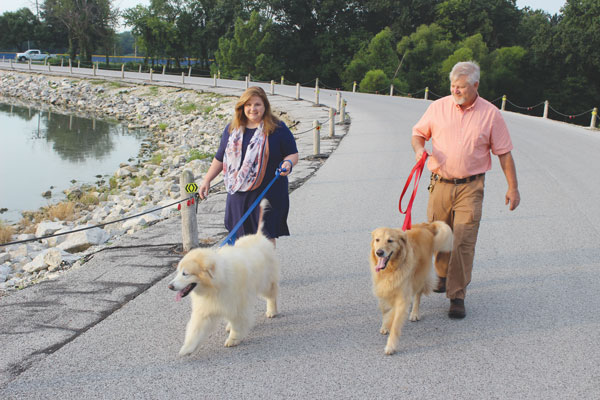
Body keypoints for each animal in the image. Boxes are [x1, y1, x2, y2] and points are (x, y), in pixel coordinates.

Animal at [168, 200, 280, 356]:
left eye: (185, 273)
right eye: (178, 272)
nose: (170, 286)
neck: (214, 287)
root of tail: (258, 236)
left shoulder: (237, 305)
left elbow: (238, 324)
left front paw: (233, 339)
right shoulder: (205, 309)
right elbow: (195, 330)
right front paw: (187, 348)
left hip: (266, 282)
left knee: (271, 295)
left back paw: (272, 311)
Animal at [370, 222, 450, 356]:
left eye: (390, 240)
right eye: (377, 240)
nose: (379, 252)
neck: (391, 270)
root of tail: (426, 226)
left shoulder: (402, 297)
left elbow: (395, 322)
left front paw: (390, 346)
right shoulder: (382, 289)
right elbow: (385, 310)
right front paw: (385, 325)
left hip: (419, 276)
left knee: (417, 295)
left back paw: (414, 313)